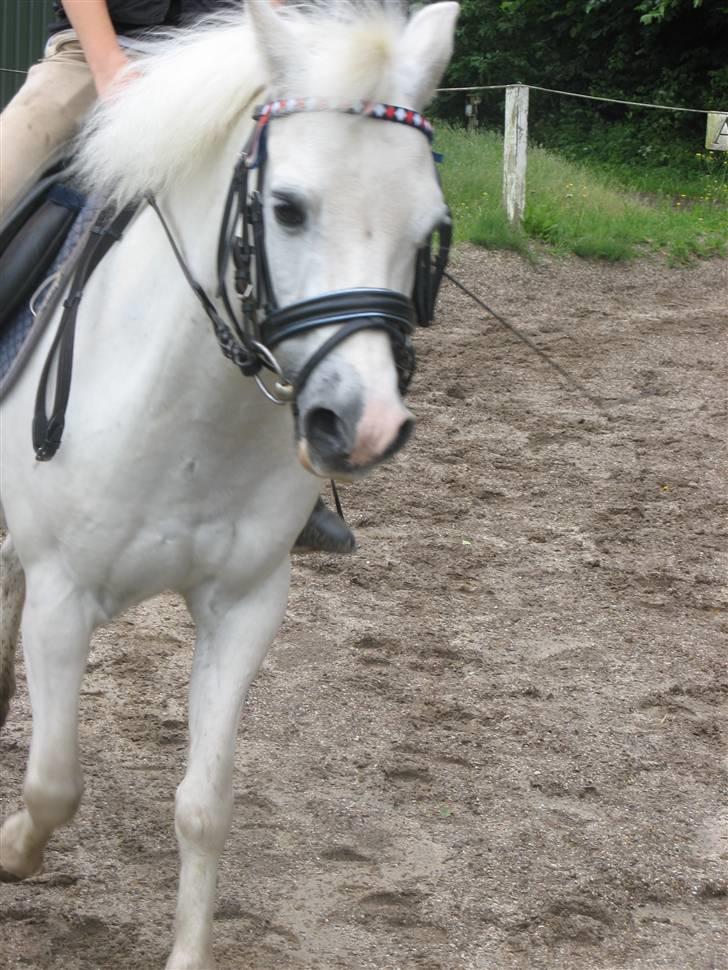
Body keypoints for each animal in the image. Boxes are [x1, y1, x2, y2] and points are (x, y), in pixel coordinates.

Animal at [0, 2, 459, 967]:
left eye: (427, 225)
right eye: (286, 208)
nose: (361, 425)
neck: (186, 412)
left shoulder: (246, 604)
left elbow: (205, 808)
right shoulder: (66, 597)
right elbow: (55, 780)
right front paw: (14, 854)